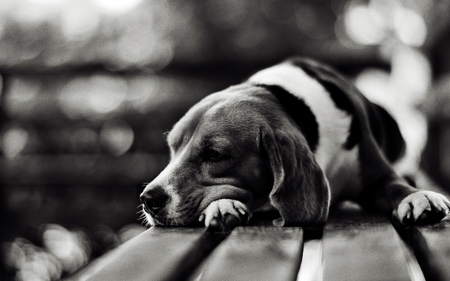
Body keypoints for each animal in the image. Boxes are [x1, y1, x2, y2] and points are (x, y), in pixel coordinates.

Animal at [139, 57, 448, 228]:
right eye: (172, 148)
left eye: (215, 154)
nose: (148, 199)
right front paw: (222, 205)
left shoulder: (377, 176)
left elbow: (396, 185)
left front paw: (417, 197)